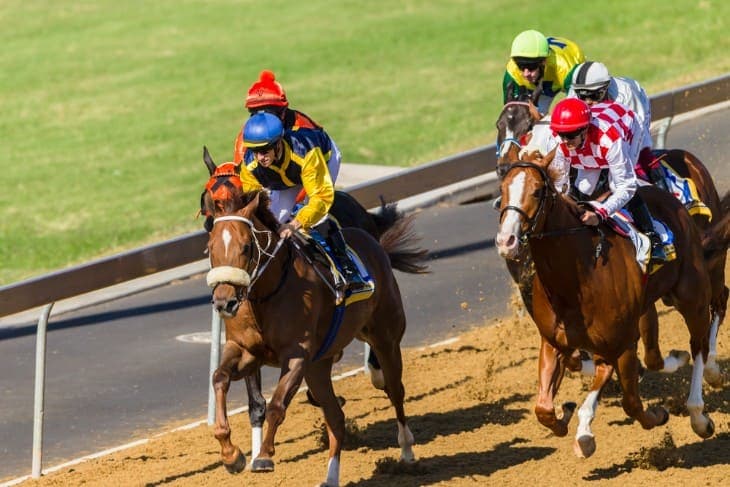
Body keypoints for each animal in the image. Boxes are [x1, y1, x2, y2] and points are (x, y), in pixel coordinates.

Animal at [205, 181, 427, 484]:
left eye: (246, 246)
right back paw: (330, 477)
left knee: (395, 390)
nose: (223, 302)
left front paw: (263, 456)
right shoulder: (246, 351)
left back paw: (406, 451)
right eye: (210, 247)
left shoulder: (297, 355)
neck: (267, 293)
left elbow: (277, 405)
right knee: (336, 418)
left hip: (386, 338)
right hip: (319, 366)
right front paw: (231, 454)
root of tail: (371, 240)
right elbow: (219, 378)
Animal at [495, 154, 719, 457]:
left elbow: (632, 403)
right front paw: (569, 419)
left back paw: (699, 415)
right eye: (502, 189)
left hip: (691, 295)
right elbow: (543, 409)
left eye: (538, 191)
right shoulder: (555, 343)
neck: (575, 280)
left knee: (700, 345)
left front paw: (658, 414)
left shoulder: (622, 343)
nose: (506, 241)